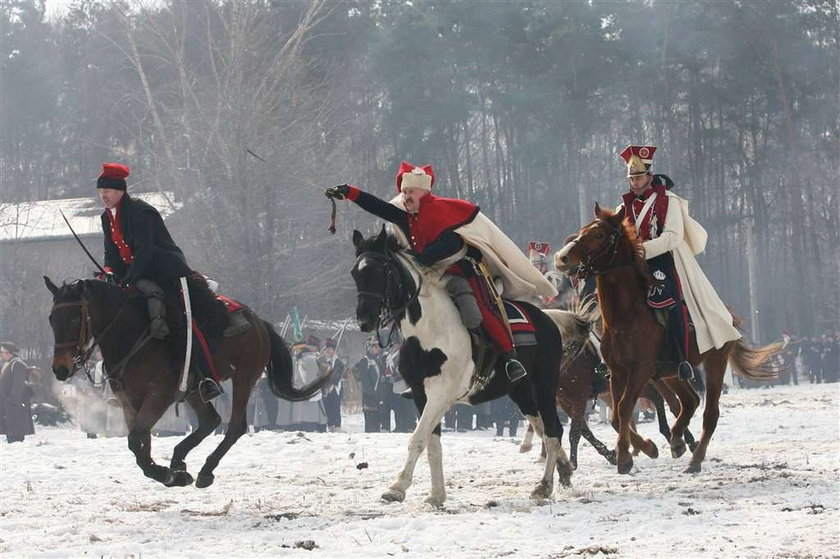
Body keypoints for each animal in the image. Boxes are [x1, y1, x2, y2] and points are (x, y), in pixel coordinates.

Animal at [44, 278, 330, 488]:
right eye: (51, 320)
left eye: (74, 318)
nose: (60, 368)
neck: (134, 337)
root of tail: (258, 321)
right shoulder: (129, 402)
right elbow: (140, 445)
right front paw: (171, 474)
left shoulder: (158, 396)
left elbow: (137, 440)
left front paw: (169, 475)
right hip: (195, 390)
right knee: (210, 421)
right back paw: (179, 459)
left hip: (244, 377)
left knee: (234, 426)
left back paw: (205, 470)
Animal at [348, 229, 572, 508]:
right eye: (355, 273)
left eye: (381, 270)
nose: (364, 320)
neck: (428, 331)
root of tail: (548, 318)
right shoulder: (422, 396)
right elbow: (432, 444)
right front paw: (436, 494)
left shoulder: (440, 394)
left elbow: (418, 439)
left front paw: (397, 487)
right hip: (521, 393)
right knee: (542, 429)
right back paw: (564, 470)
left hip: (543, 387)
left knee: (553, 430)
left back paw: (544, 486)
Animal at [552, 208, 780, 474]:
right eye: (582, 230)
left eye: (599, 234)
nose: (562, 258)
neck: (626, 317)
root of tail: (728, 314)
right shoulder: (617, 374)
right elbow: (617, 416)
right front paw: (640, 449)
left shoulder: (638, 371)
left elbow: (624, 408)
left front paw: (625, 456)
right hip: (671, 373)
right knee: (688, 402)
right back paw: (677, 440)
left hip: (714, 362)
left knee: (709, 413)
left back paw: (694, 458)